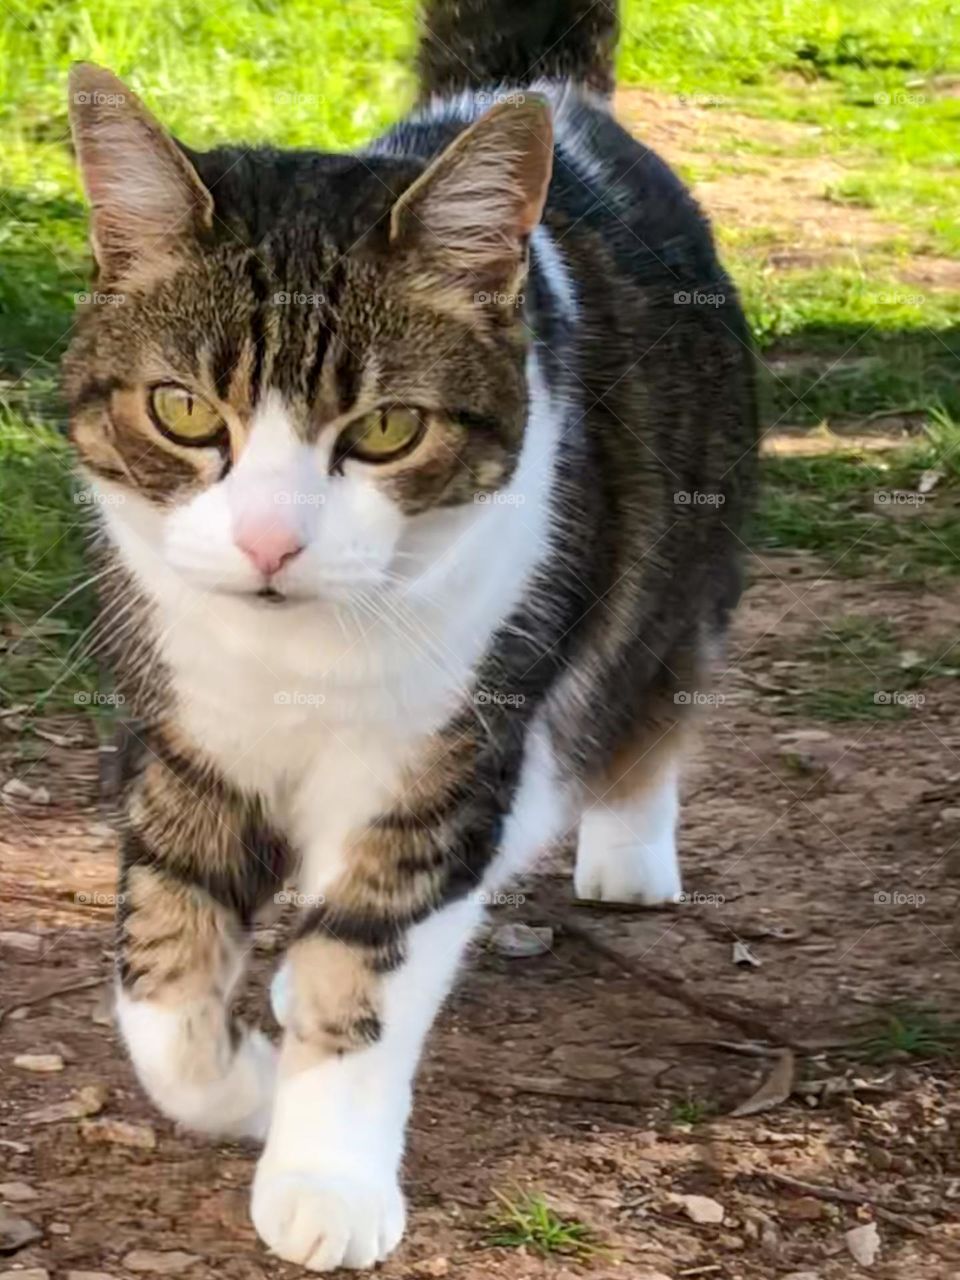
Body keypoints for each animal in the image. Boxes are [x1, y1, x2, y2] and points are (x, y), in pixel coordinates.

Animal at [65, 2, 757, 1269]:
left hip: (679, 551)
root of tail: (543, 89)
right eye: (182, 410)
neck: (297, 658)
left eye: (386, 428)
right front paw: (240, 1081)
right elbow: (163, 970)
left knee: (647, 691)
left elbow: (369, 959)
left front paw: (325, 1175)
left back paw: (628, 844)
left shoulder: (448, 754)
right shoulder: (184, 729)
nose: (271, 542)